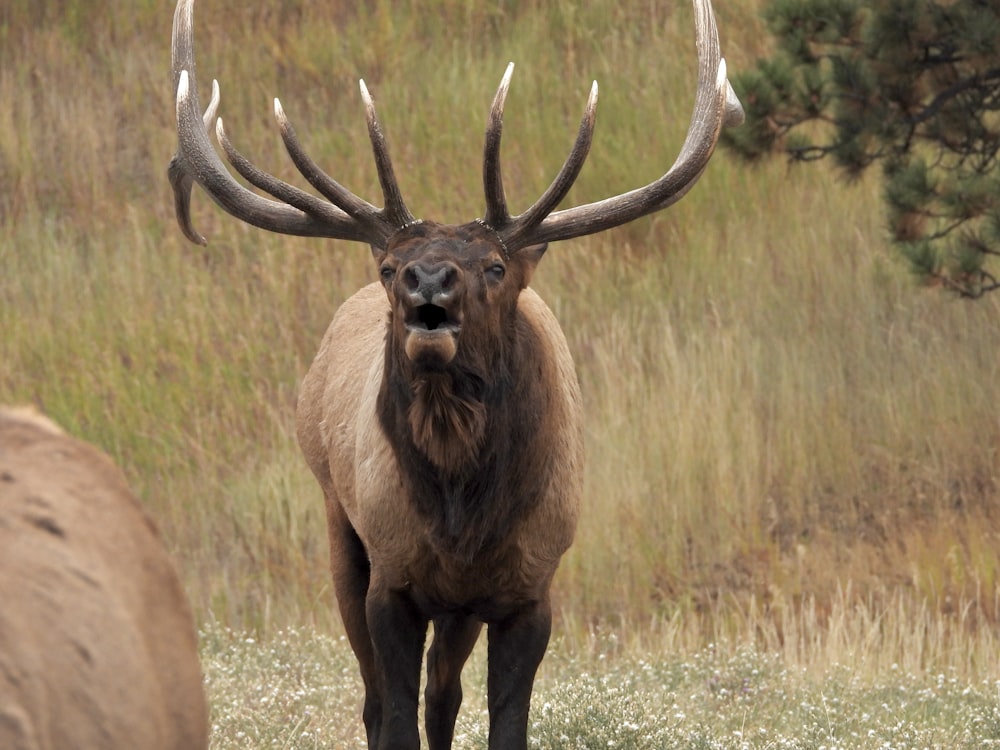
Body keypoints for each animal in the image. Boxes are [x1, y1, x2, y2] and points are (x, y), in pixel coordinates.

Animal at [166, 2, 744, 748]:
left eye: (495, 267)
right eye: (389, 267)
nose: (428, 280)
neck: (463, 516)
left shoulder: (530, 589)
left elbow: (500, 721)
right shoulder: (392, 580)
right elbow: (391, 717)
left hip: (461, 607)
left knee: (444, 693)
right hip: (339, 526)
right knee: (379, 698)